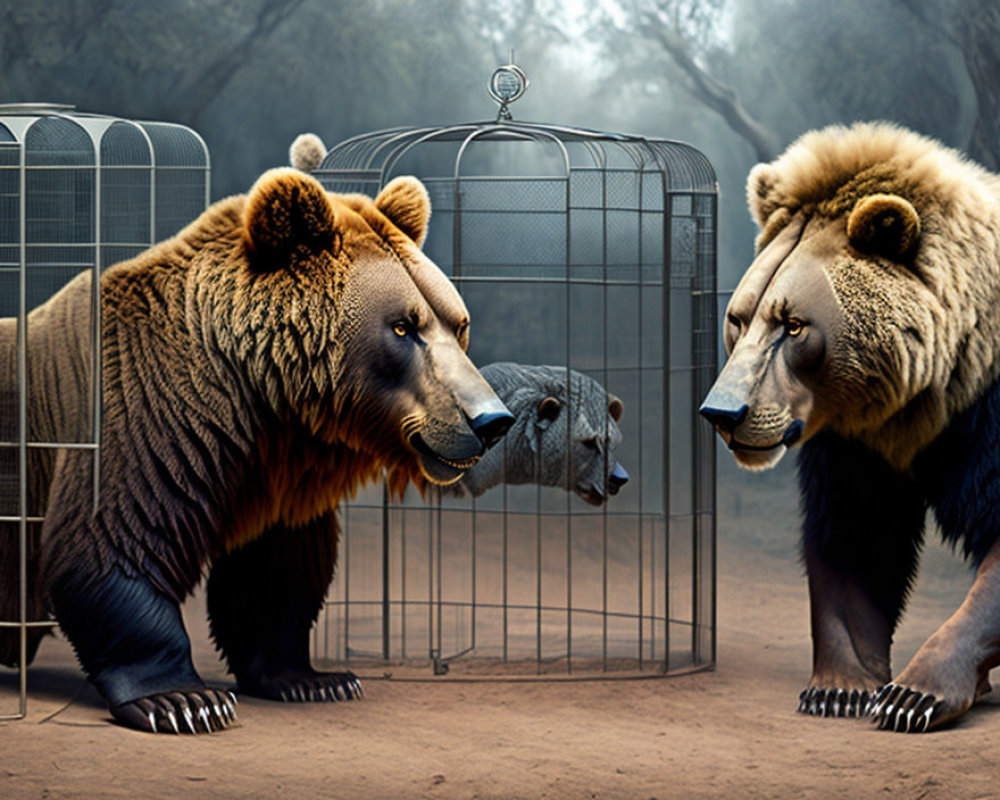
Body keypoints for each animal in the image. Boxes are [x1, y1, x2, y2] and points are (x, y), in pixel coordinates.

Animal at [0, 172, 512, 736]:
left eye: (457, 323)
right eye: (403, 326)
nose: (491, 420)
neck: (256, 406)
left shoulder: (274, 481)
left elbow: (275, 574)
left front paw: (314, 679)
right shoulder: (139, 418)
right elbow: (115, 539)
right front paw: (184, 701)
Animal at [700, 123, 1000, 732]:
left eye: (793, 325)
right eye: (738, 318)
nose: (724, 414)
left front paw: (914, 696)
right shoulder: (860, 444)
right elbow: (856, 541)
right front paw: (842, 688)